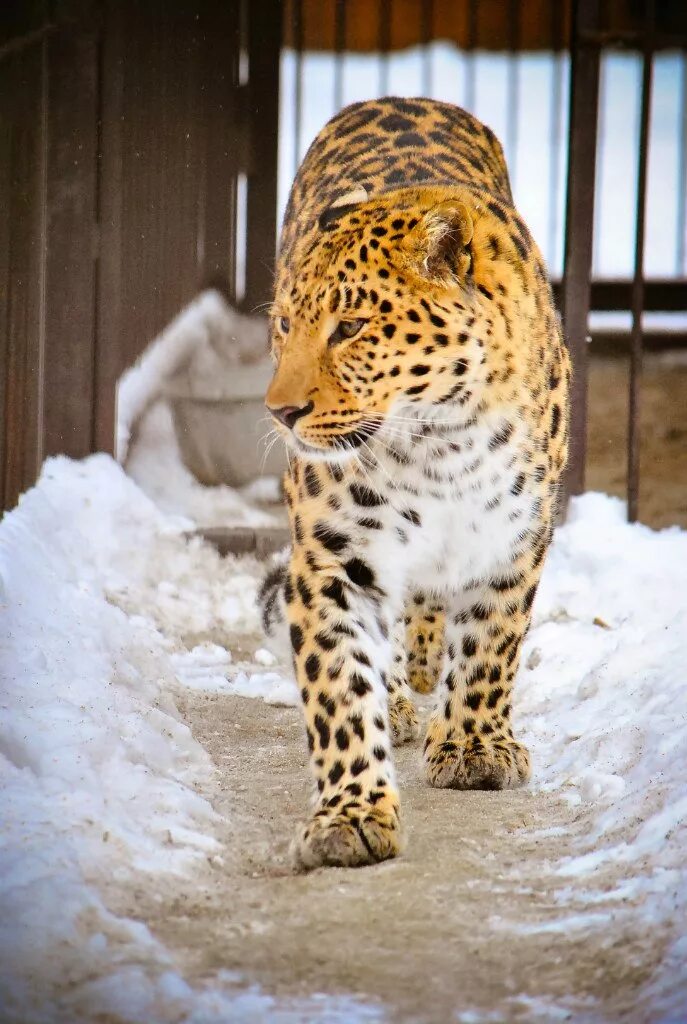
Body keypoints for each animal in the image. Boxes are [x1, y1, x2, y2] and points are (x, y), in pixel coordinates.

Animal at [258, 96, 569, 868]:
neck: (439, 440)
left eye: (350, 327)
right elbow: (340, 689)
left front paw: (474, 747)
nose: (280, 411)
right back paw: (402, 695)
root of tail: (400, 97)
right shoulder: (331, 557)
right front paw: (350, 815)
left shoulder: (512, 537)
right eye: (285, 323)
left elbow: (491, 645)